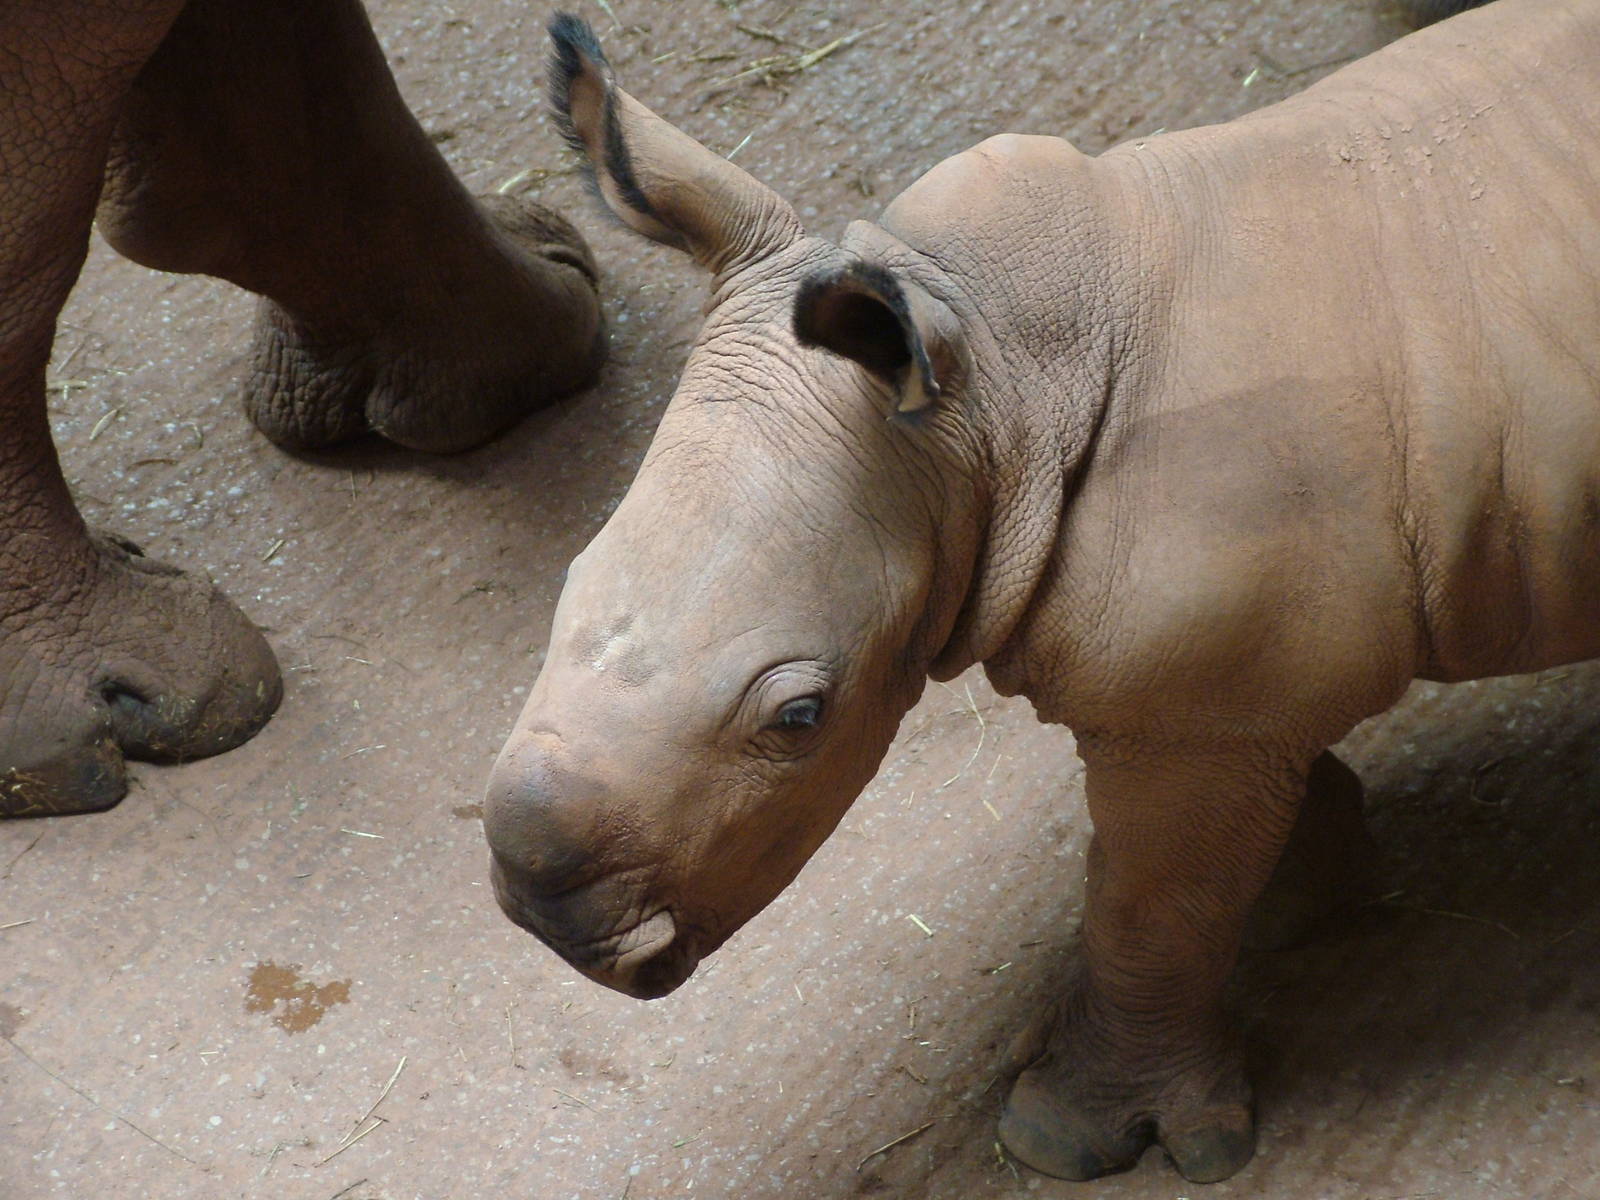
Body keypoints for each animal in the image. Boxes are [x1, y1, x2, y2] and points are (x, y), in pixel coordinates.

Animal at [484, 1, 1600, 1183]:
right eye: (567, 584)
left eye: (799, 716)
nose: (542, 914)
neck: (995, 385)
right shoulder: (1222, 694)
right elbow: (1203, 867)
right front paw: (1303, 893)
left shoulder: (1196, 721)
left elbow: (1149, 910)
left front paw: (1072, 1136)